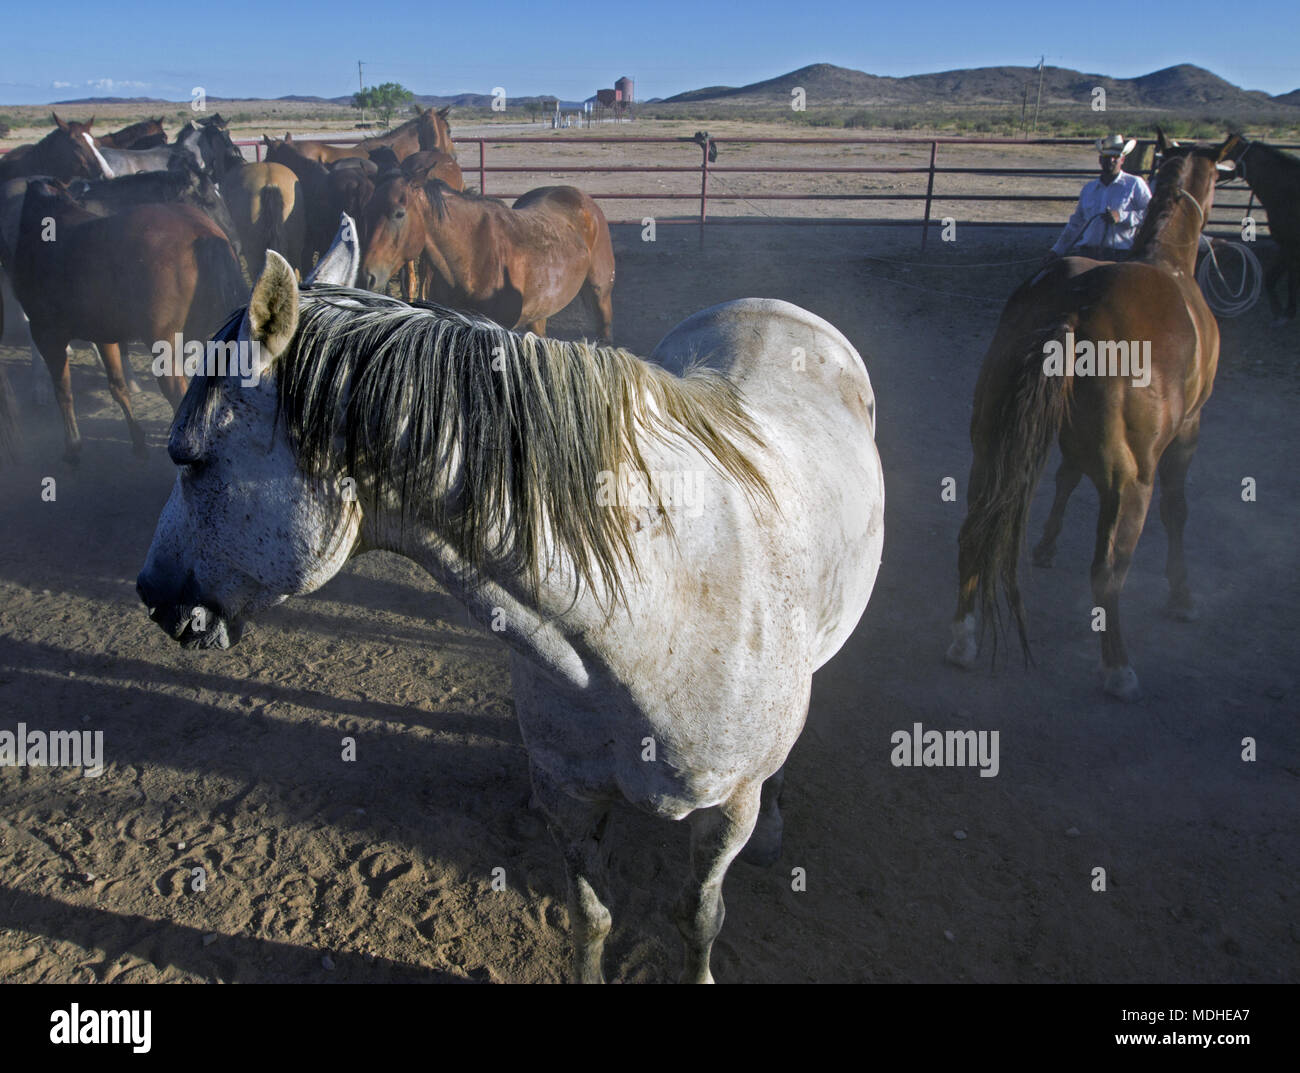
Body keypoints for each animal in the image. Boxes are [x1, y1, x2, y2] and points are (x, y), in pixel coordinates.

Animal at [12, 179, 244, 460]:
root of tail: (201, 234)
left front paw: (73, 447)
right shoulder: (103, 335)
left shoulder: (46, 334)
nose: (238, 242)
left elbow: (63, 391)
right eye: (209, 200)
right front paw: (138, 440)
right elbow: (117, 386)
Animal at [134, 213, 883, 983]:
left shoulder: (725, 810)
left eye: (190, 458)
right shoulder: (566, 796)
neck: (661, 615)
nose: (153, 596)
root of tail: (775, 307)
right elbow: (591, 917)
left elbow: (698, 916)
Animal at [358, 179, 616, 338]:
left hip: (600, 293)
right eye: (367, 212)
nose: (366, 276)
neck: (473, 255)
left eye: (399, 213)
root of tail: (582, 198)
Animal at [941, 133, 1232, 697]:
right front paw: (1182, 597)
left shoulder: (1073, 441)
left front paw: (1046, 546)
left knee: (973, 531)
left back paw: (963, 638)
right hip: (1131, 479)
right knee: (1109, 568)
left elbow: (1066, 478)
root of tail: (1073, 310)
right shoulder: (1189, 430)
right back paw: (1117, 666)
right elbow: (1178, 510)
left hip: (990, 444)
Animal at [1216, 132, 1300, 322]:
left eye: (1224, 152)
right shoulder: (1285, 247)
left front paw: (1286, 312)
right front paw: (1282, 311)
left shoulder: (1290, 247)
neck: (1288, 194)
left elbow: (1288, 280)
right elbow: (1273, 279)